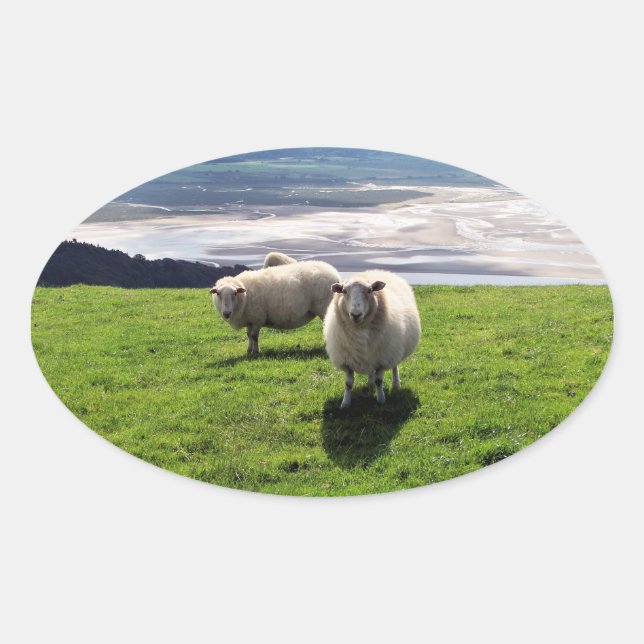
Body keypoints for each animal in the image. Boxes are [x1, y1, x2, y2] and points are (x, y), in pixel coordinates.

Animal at [210, 260, 341, 354]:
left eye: (235, 293)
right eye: (218, 294)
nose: (226, 313)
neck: (244, 297)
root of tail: (334, 273)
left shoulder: (257, 318)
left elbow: (254, 336)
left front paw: (256, 352)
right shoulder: (250, 319)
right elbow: (248, 335)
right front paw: (249, 350)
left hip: (323, 308)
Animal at [323, 270, 421, 408]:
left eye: (370, 290)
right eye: (344, 291)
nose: (356, 315)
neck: (359, 328)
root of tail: (377, 271)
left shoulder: (383, 358)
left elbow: (379, 381)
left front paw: (381, 399)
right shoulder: (347, 360)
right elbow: (348, 383)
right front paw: (345, 403)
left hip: (394, 349)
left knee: (394, 366)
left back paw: (396, 384)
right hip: (371, 354)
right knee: (370, 369)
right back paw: (369, 382)